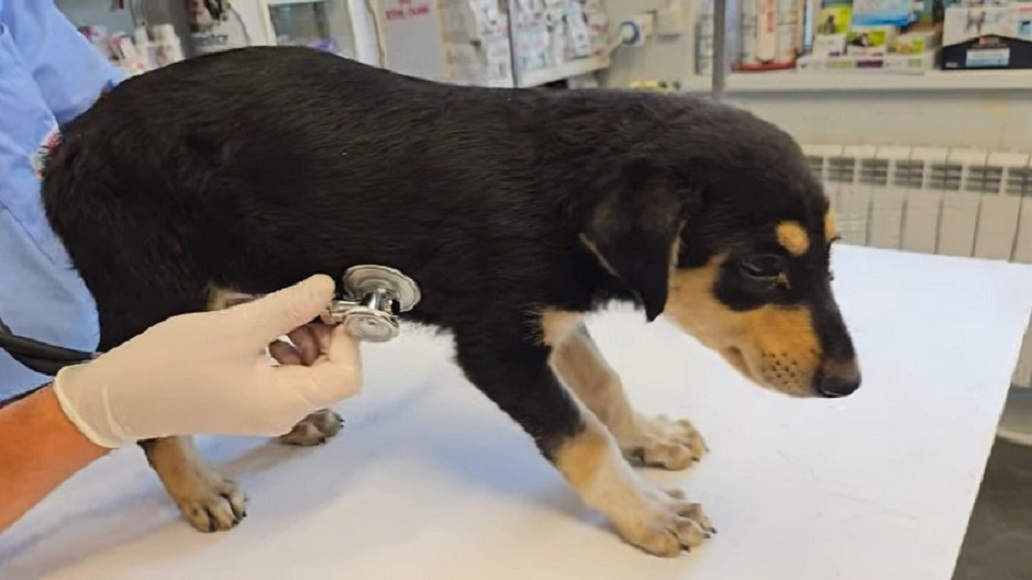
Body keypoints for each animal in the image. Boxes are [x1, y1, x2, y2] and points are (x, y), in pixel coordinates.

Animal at [40, 46, 858, 557]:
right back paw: (198, 489)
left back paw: (293, 416)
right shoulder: (496, 344)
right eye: (761, 265)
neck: (565, 183)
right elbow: (581, 437)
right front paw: (647, 513)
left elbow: (603, 384)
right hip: (150, 292)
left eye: (831, 253)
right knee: (143, 403)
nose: (849, 384)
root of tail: (65, 148)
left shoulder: (553, 317)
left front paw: (649, 438)